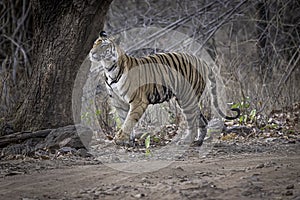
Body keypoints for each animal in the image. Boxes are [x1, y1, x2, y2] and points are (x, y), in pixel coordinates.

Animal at [88, 31, 239, 146]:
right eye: (94, 44)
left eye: (103, 46)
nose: (91, 53)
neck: (109, 69)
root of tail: (201, 60)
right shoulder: (119, 102)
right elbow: (125, 120)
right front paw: (128, 142)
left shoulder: (138, 101)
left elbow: (129, 121)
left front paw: (119, 139)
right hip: (186, 99)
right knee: (201, 119)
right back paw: (198, 141)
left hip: (187, 98)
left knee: (193, 121)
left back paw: (185, 141)